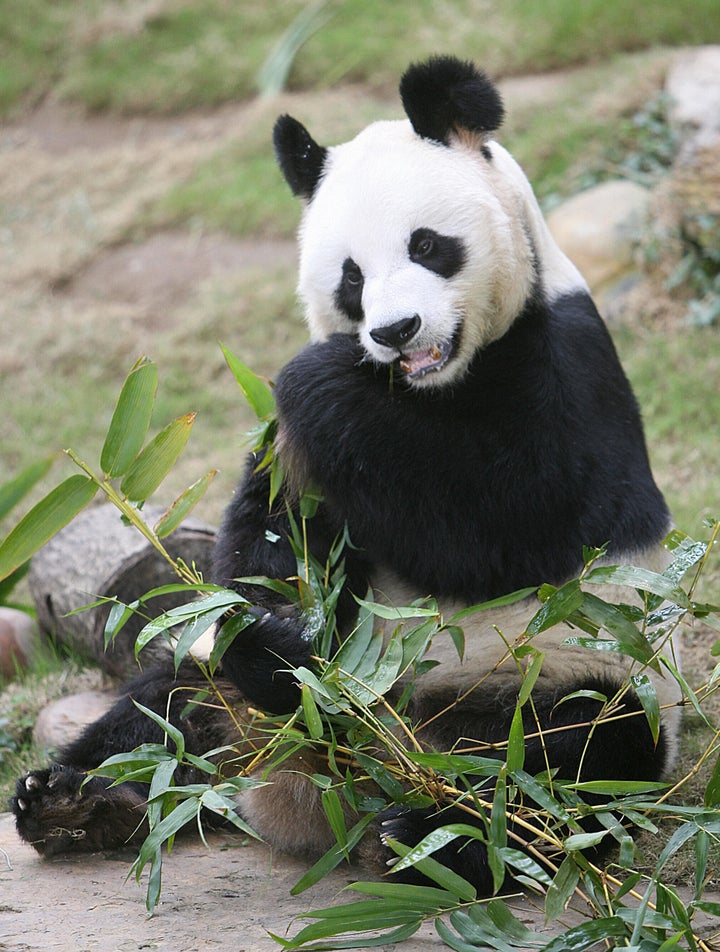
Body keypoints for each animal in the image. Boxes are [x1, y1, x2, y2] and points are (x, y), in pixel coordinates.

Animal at [11, 59, 680, 892]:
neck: (430, 386)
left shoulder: (569, 371)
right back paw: (77, 799)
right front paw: (280, 625)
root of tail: (336, 778)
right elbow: (274, 539)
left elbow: (506, 529)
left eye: (428, 245)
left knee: (580, 755)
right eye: (352, 279)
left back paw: (427, 834)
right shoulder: (301, 462)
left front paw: (319, 374)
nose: (396, 332)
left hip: (559, 676)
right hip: (217, 686)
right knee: (170, 703)